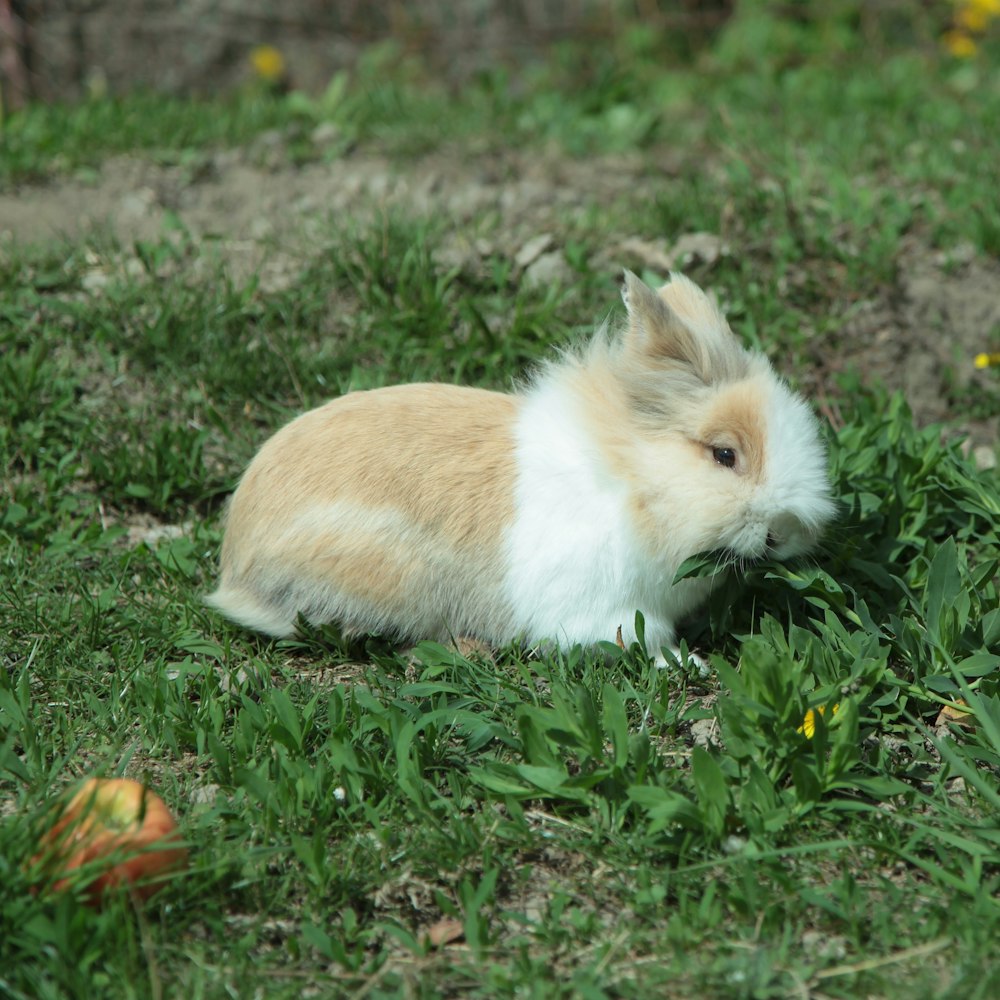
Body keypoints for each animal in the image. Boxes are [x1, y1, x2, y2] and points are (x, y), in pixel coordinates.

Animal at [209, 272, 836, 664]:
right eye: (724, 455)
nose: (782, 535)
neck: (634, 482)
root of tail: (234, 566)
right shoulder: (604, 605)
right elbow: (640, 639)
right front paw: (690, 664)